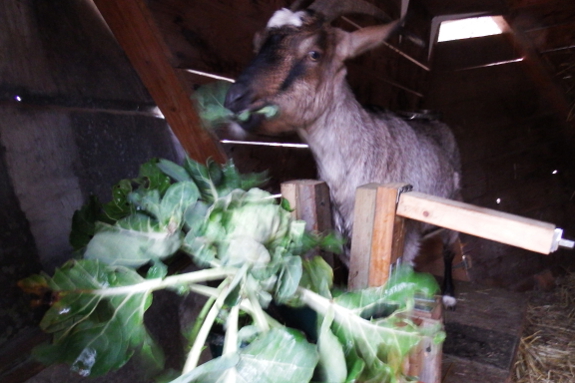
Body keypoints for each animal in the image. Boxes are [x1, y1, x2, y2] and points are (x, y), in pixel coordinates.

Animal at [225, 0, 464, 308]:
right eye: (258, 44)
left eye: (314, 53)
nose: (234, 99)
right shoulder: (344, 242)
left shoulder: (405, 239)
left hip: (454, 201)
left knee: (449, 246)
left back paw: (448, 294)